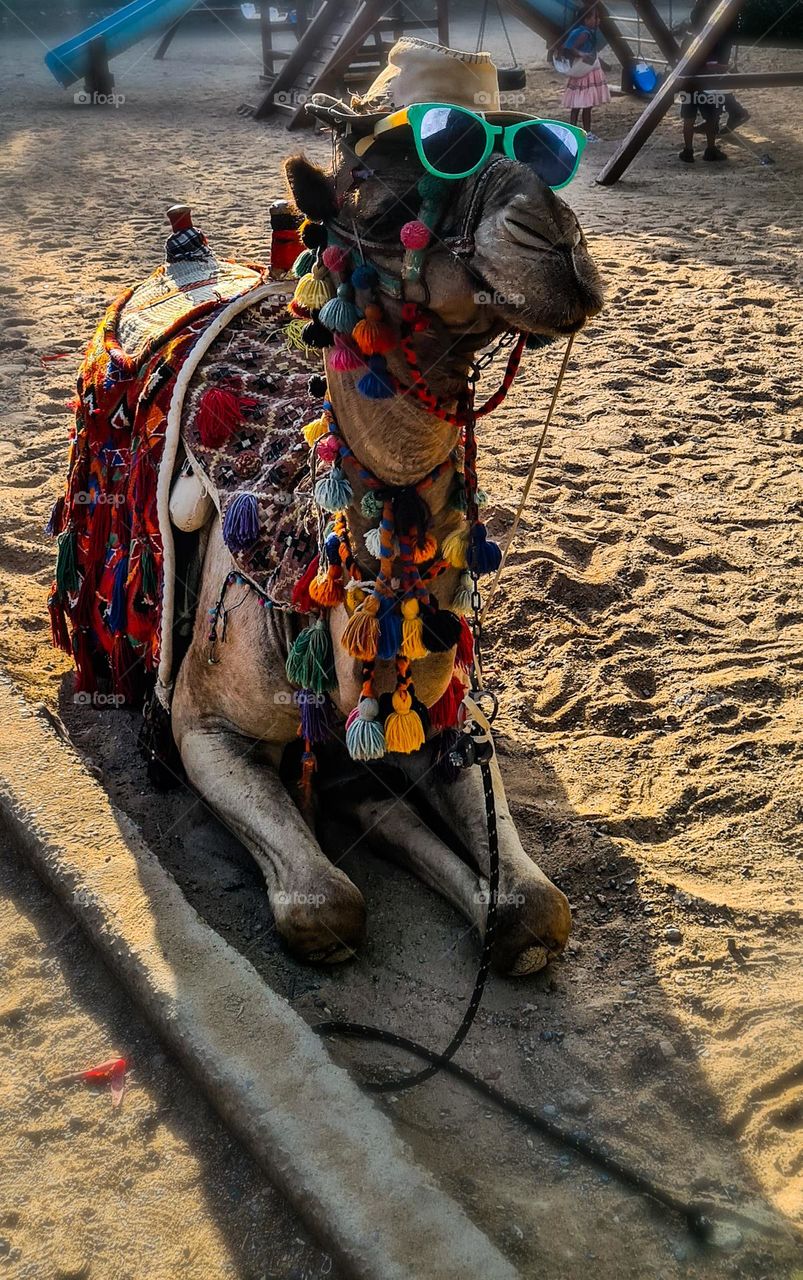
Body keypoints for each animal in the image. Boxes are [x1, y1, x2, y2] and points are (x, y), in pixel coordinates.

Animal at [167, 122, 603, 974]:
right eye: (375, 194)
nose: (555, 238)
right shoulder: (201, 726)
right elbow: (324, 905)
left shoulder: (451, 723)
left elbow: (537, 908)